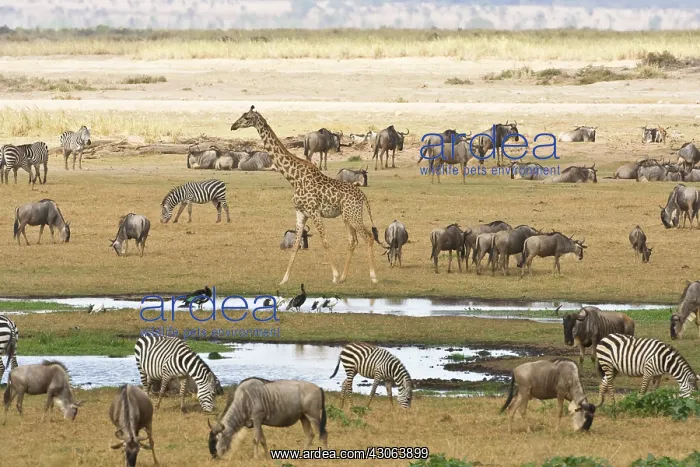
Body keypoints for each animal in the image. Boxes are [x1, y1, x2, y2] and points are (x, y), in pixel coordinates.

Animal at [230, 105, 386, 285]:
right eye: (242, 115)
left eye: (247, 117)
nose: (233, 126)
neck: (294, 178)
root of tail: (363, 197)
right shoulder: (300, 213)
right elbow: (296, 245)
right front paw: (284, 279)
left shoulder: (314, 211)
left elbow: (325, 242)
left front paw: (334, 275)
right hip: (347, 216)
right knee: (353, 241)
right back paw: (344, 277)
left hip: (353, 215)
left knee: (368, 237)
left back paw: (373, 276)